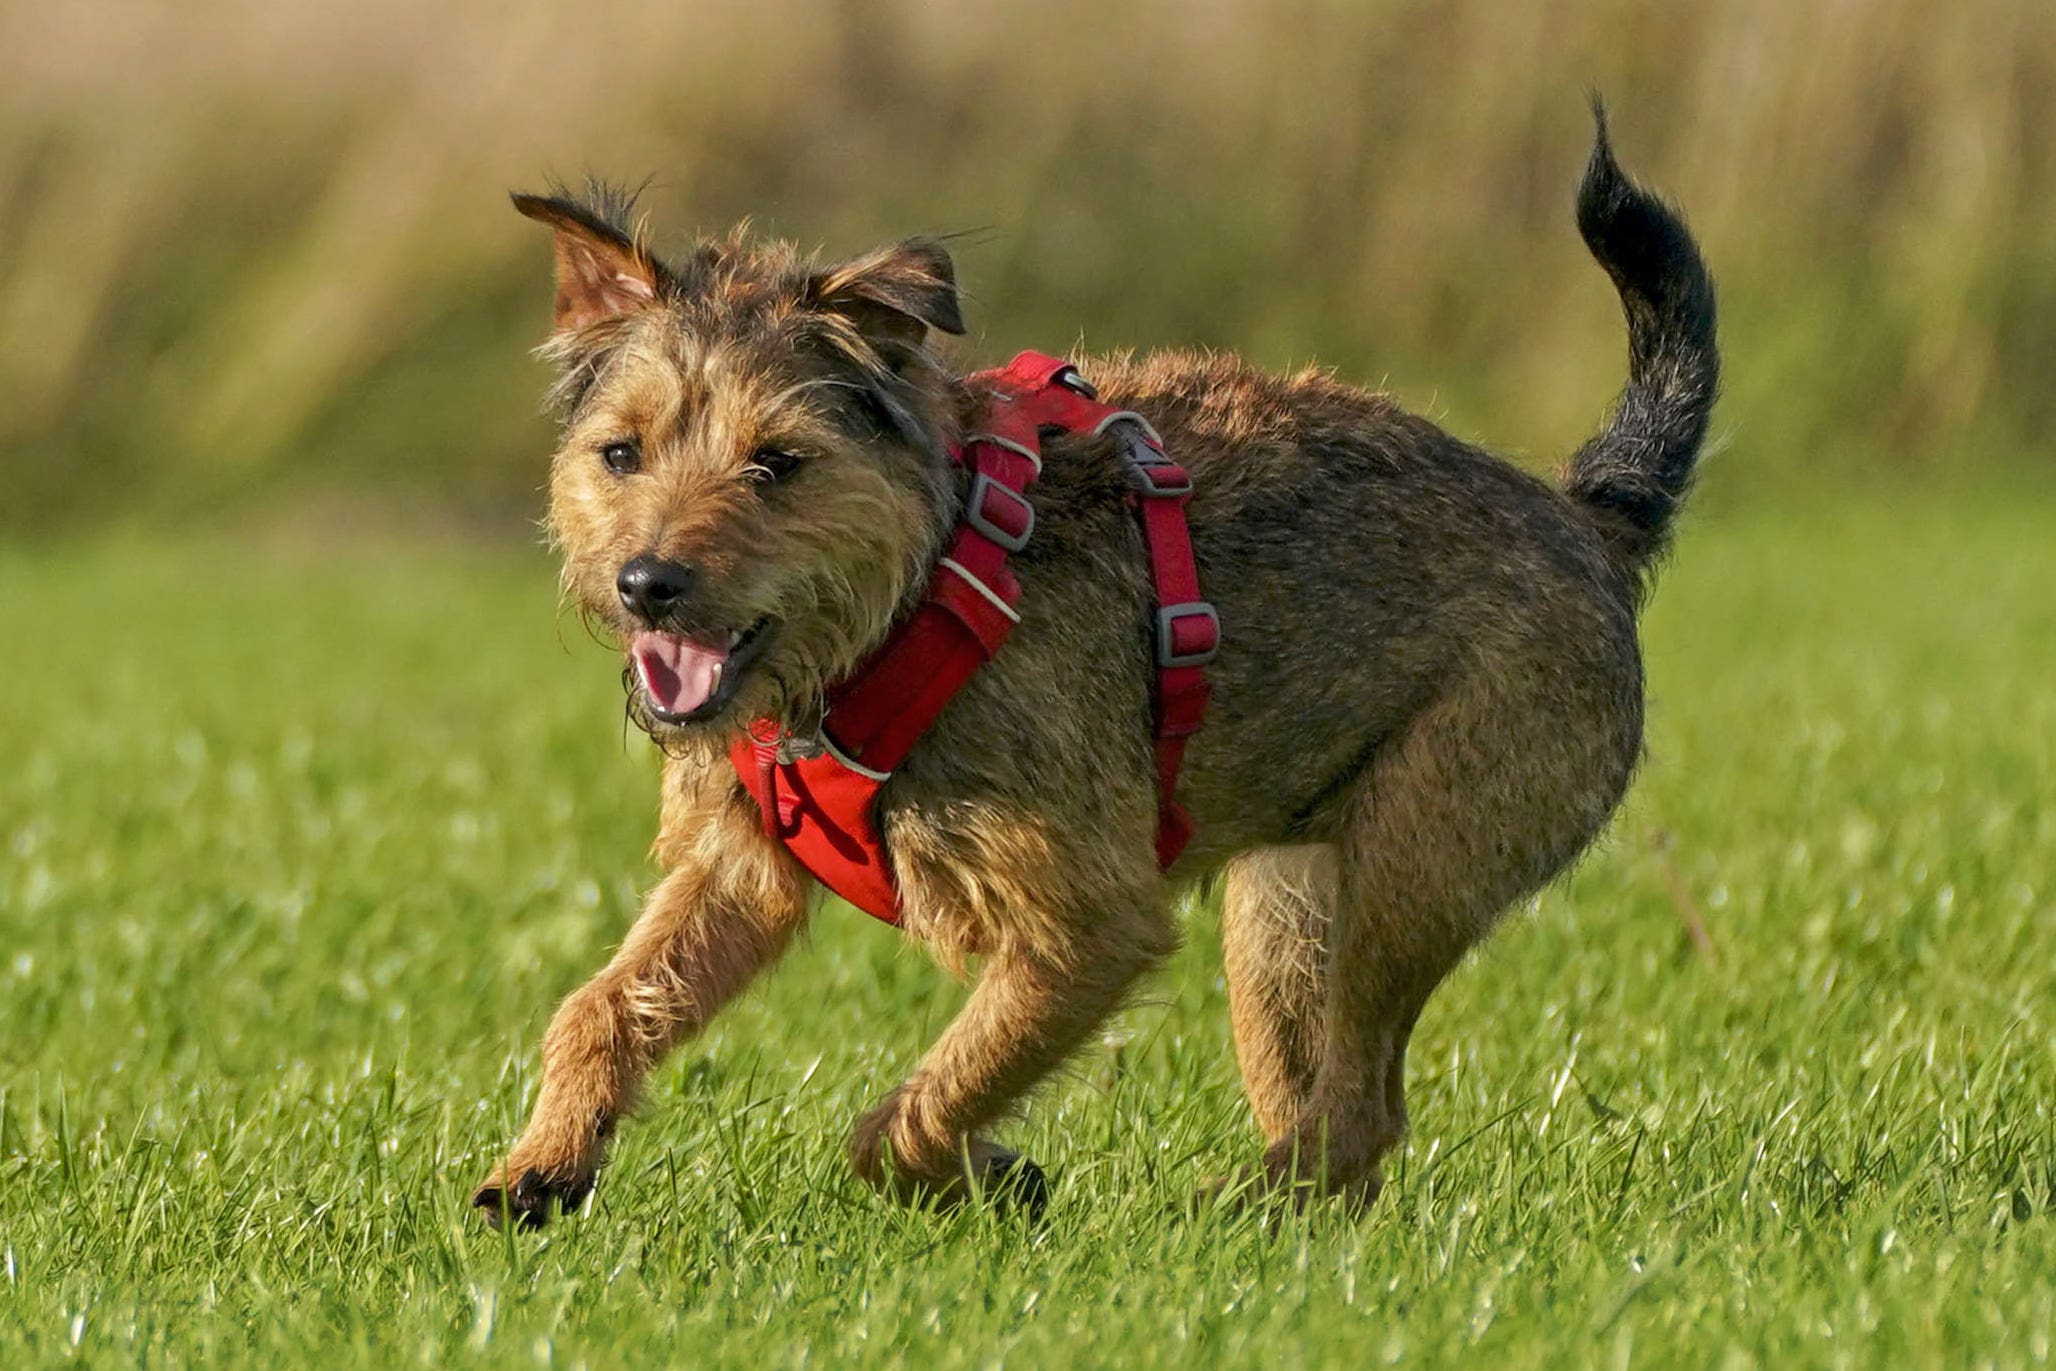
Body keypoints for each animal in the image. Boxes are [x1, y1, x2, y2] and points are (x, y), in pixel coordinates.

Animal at [470, 112, 1718, 1225]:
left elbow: (911, 1112)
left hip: (1413, 863)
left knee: (1362, 1111)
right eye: (618, 453)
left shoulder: (1085, 930)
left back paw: (1225, 1218)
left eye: (778, 463)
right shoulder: (737, 872)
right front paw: (542, 1165)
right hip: (1282, 917)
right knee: (1333, 1116)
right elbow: (599, 1003)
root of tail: (1583, 514)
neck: (909, 598)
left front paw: (985, 1176)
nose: (647, 583)